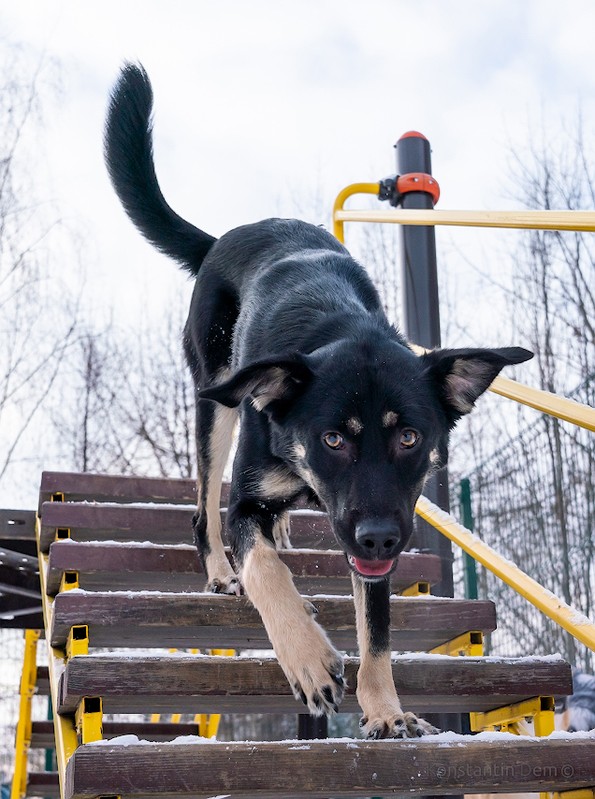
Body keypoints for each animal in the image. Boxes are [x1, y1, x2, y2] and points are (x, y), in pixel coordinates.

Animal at [103, 64, 536, 744]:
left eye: (410, 438)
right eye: (333, 438)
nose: (381, 540)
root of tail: (225, 238)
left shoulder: (378, 529)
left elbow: (377, 630)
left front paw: (384, 710)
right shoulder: (250, 501)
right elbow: (265, 569)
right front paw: (306, 658)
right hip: (216, 401)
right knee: (206, 513)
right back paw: (222, 572)